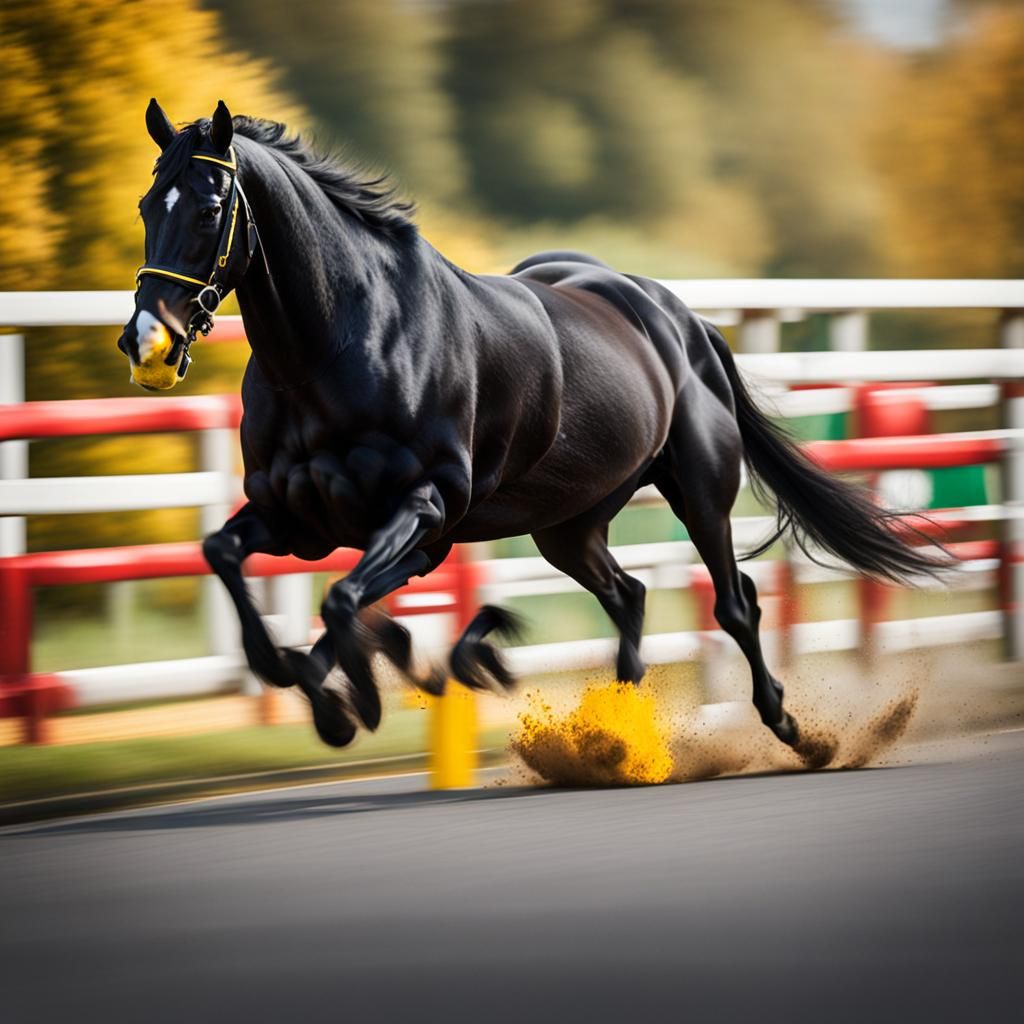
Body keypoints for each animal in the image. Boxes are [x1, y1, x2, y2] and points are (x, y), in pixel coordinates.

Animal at [118, 99, 944, 753]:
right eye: (146, 204)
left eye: (207, 209)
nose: (146, 342)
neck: (343, 346)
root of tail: (681, 318)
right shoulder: (299, 515)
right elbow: (229, 555)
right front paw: (348, 682)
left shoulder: (425, 510)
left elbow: (344, 600)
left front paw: (359, 694)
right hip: (568, 524)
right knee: (628, 595)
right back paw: (613, 739)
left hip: (700, 489)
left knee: (733, 600)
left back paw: (788, 727)